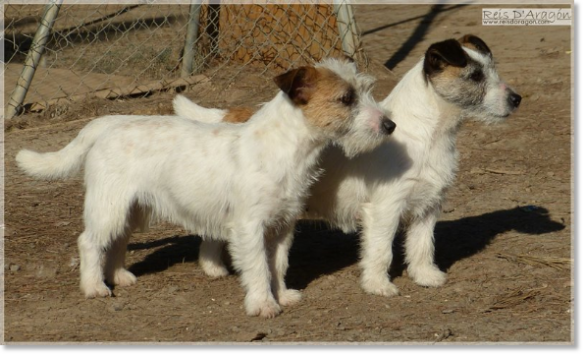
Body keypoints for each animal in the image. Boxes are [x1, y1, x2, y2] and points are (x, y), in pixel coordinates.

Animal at [16, 57, 394, 318]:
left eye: (366, 91)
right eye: (346, 99)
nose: (390, 125)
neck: (284, 147)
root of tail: (108, 124)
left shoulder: (283, 227)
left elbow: (277, 265)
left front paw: (282, 294)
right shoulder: (250, 228)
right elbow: (259, 268)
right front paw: (263, 304)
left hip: (133, 209)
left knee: (118, 241)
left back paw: (119, 275)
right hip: (108, 207)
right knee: (90, 242)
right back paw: (94, 286)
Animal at [172, 35, 520, 298]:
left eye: (493, 70)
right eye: (475, 76)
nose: (516, 99)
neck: (428, 133)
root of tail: (232, 116)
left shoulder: (428, 207)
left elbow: (422, 246)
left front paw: (426, 276)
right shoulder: (385, 210)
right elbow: (381, 251)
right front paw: (378, 286)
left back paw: (213, 267)